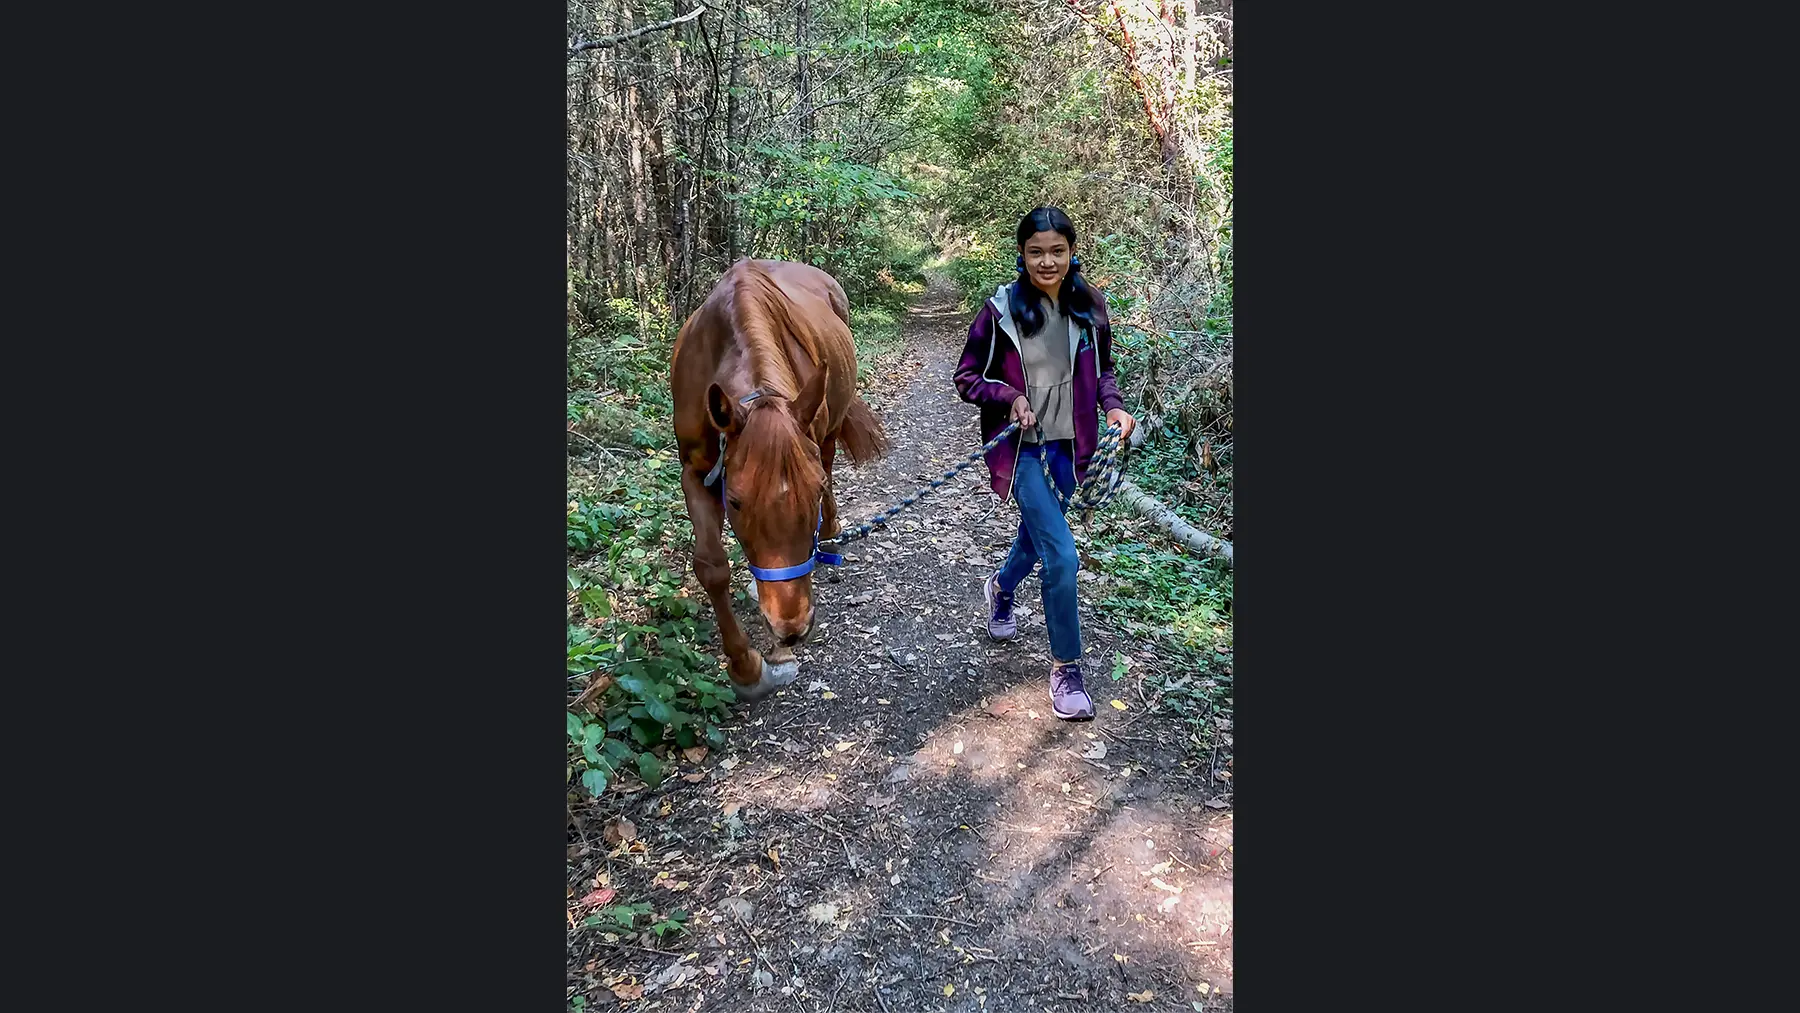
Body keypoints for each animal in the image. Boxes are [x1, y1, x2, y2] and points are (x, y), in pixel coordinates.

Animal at [669, 260, 885, 701]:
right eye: (735, 501)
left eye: (814, 494)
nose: (791, 629)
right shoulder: (694, 471)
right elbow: (711, 566)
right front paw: (746, 668)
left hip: (828, 428)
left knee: (830, 459)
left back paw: (831, 533)